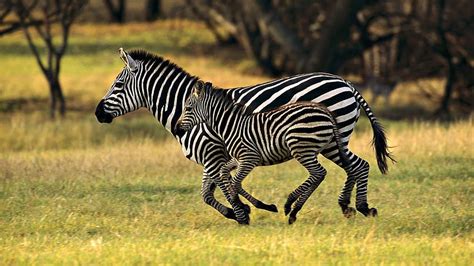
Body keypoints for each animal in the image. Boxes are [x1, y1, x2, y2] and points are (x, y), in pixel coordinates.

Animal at [95, 48, 392, 222]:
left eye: (118, 85)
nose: (98, 113)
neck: (186, 108)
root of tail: (345, 82)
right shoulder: (213, 159)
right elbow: (207, 194)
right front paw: (241, 211)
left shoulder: (213, 155)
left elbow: (222, 187)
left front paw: (242, 213)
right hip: (332, 140)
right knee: (357, 166)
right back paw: (351, 207)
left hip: (328, 139)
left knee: (355, 166)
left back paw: (356, 206)